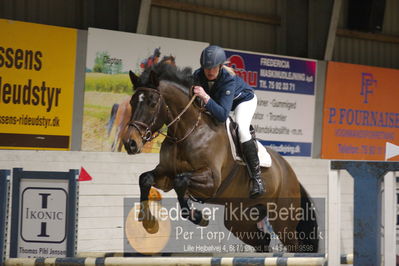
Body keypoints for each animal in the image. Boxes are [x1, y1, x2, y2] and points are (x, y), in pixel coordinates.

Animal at [122, 63, 318, 252]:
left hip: (283, 220)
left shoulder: (212, 181)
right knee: (263, 241)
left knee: (295, 245)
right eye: (132, 102)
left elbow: (181, 181)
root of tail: (290, 172)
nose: (130, 143)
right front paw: (149, 223)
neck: (187, 131)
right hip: (239, 220)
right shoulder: (165, 175)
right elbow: (145, 179)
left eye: (153, 103)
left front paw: (198, 217)